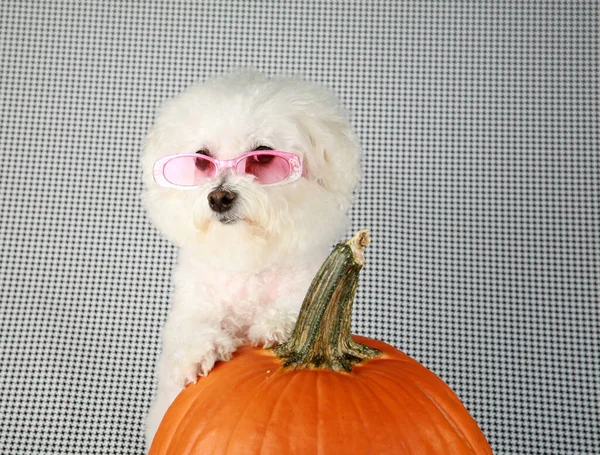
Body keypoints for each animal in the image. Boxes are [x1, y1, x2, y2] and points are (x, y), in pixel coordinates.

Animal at [141, 69, 360, 448]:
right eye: (201, 159)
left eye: (262, 157)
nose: (219, 197)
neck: (247, 265)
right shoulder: (192, 304)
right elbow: (185, 332)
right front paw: (199, 350)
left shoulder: (308, 282)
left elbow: (303, 304)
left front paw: (276, 324)